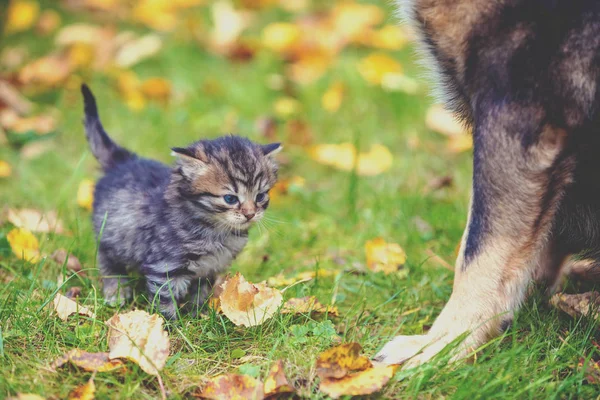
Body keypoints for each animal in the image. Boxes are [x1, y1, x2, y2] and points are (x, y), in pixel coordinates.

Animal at [79, 84, 282, 318]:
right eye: (230, 198)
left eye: (260, 196)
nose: (250, 214)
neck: (216, 230)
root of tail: (123, 161)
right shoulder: (165, 266)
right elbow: (165, 299)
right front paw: (171, 323)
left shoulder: (209, 268)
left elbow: (200, 292)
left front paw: (198, 315)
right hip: (111, 234)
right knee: (108, 261)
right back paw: (117, 291)